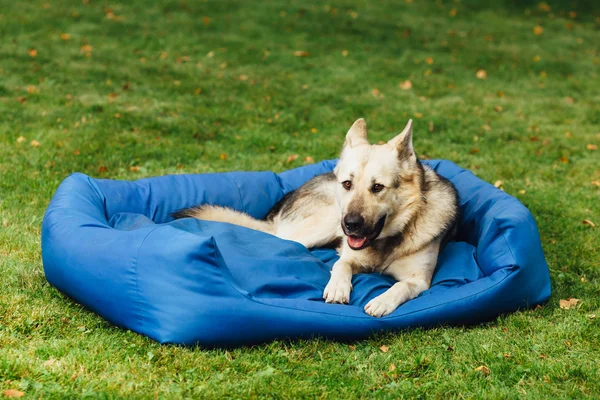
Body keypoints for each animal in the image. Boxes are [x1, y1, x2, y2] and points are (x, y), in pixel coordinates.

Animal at [173, 117, 460, 318]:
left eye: (378, 187)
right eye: (347, 184)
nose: (351, 225)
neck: (383, 243)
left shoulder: (419, 280)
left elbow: (400, 287)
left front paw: (382, 300)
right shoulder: (349, 254)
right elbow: (341, 264)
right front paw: (337, 287)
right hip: (323, 224)